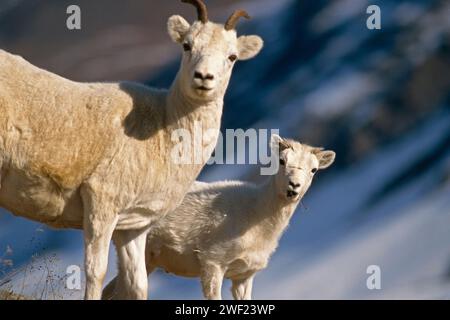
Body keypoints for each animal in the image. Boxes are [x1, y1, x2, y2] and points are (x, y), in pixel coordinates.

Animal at [0, 0, 264, 300]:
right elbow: (96, 270)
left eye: (232, 57)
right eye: (187, 45)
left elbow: (137, 284)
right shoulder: (101, 202)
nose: (203, 77)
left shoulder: (134, 227)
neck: (164, 128)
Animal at [102, 135, 334, 300]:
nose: (293, 186)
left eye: (314, 169)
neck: (256, 215)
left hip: (147, 259)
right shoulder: (213, 263)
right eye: (282, 161)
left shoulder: (243, 277)